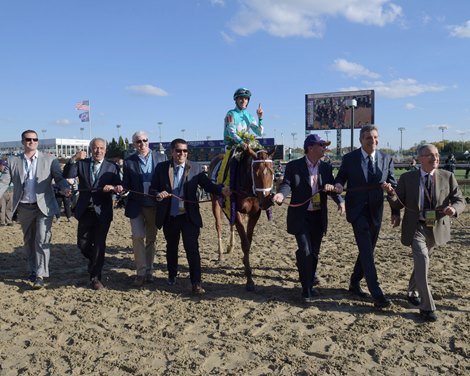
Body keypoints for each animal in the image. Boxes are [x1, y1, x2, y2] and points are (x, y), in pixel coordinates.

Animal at [208, 146, 276, 290]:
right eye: (256, 172)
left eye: (272, 172)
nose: (267, 201)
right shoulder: (237, 211)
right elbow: (245, 243)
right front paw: (249, 279)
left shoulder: (254, 213)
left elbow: (248, 240)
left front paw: (245, 261)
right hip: (215, 202)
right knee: (219, 226)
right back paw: (220, 253)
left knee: (231, 224)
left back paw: (230, 246)